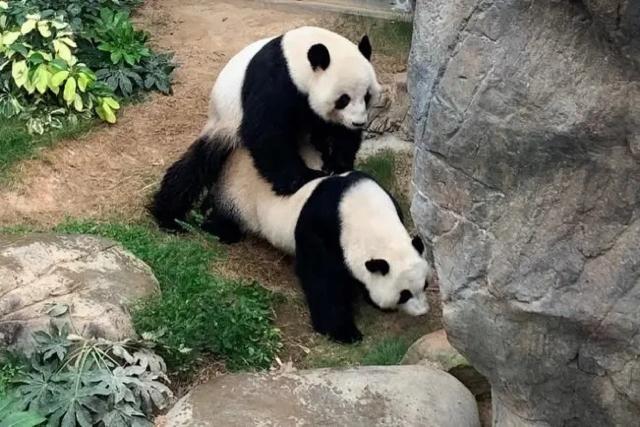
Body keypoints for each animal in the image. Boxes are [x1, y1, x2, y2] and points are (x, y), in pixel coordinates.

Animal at [149, 25, 380, 234]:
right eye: (343, 99)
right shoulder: (275, 80)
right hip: (223, 124)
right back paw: (169, 217)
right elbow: (266, 133)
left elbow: (339, 133)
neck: (296, 58)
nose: (358, 123)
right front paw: (302, 178)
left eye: (367, 96)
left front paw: (337, 164)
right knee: (195, 167)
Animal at [214, 148, 430, 344]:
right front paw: (344, 332)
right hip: (240, 197)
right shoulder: (322, 228)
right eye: (404, 295)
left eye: (425, 284)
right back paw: (223, 231)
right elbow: (322, 278)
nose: (423, 312)